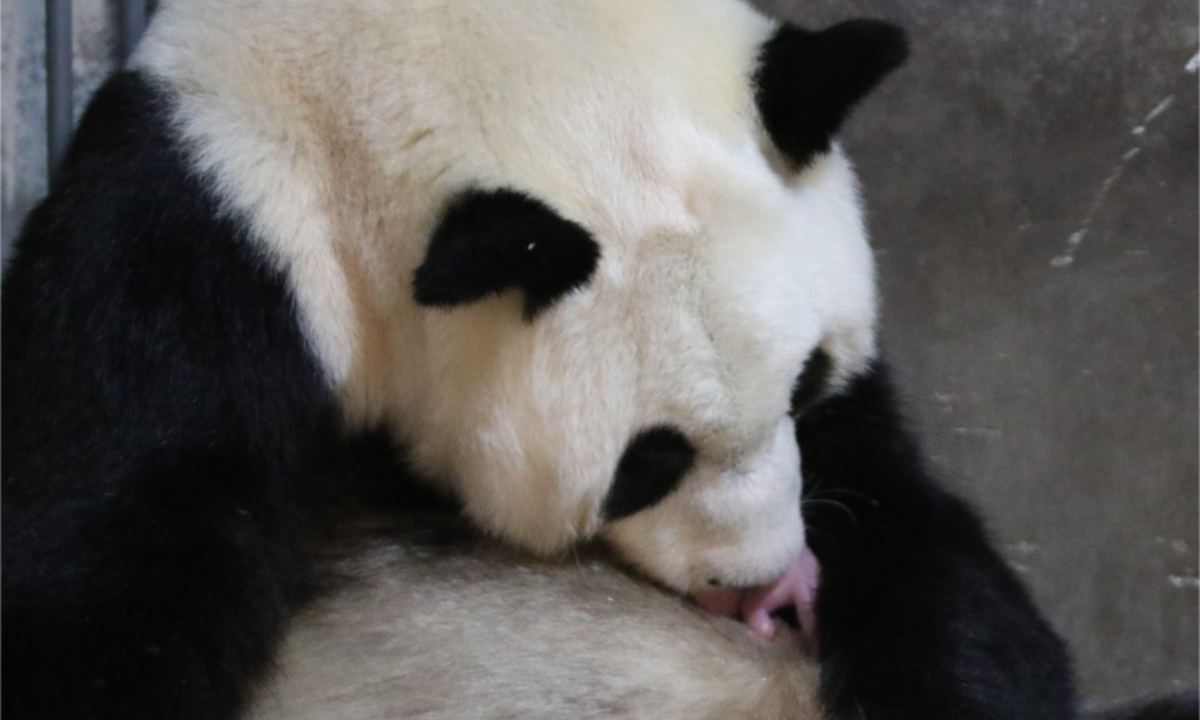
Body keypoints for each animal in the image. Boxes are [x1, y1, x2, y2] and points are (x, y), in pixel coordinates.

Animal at [2, 1, 1080, 720]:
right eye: (650, 461)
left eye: (807, 383)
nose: (762, 579)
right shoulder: (204, 239)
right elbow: (100, 570)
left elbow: (904, 520)